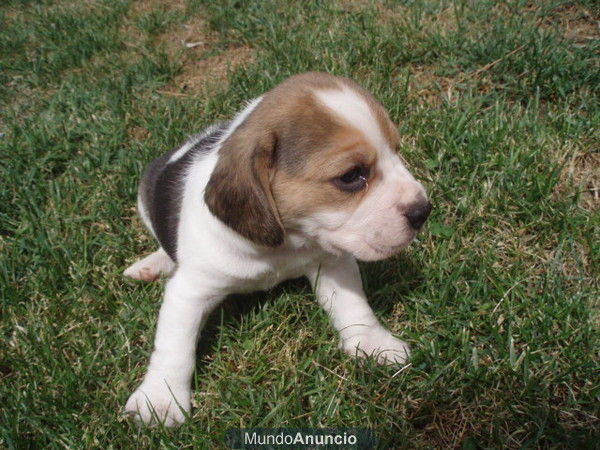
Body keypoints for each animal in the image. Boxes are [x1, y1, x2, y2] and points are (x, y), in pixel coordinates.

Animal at [123, 73, 432, 426]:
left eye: (397, 150)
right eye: (352, 176)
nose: (424, 210)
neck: (285, 244)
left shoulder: (331, 261)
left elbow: (354, 305)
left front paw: (374, 343)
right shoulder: (190, 290)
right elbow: (175, 346)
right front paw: (160, 400)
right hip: (144, 200)